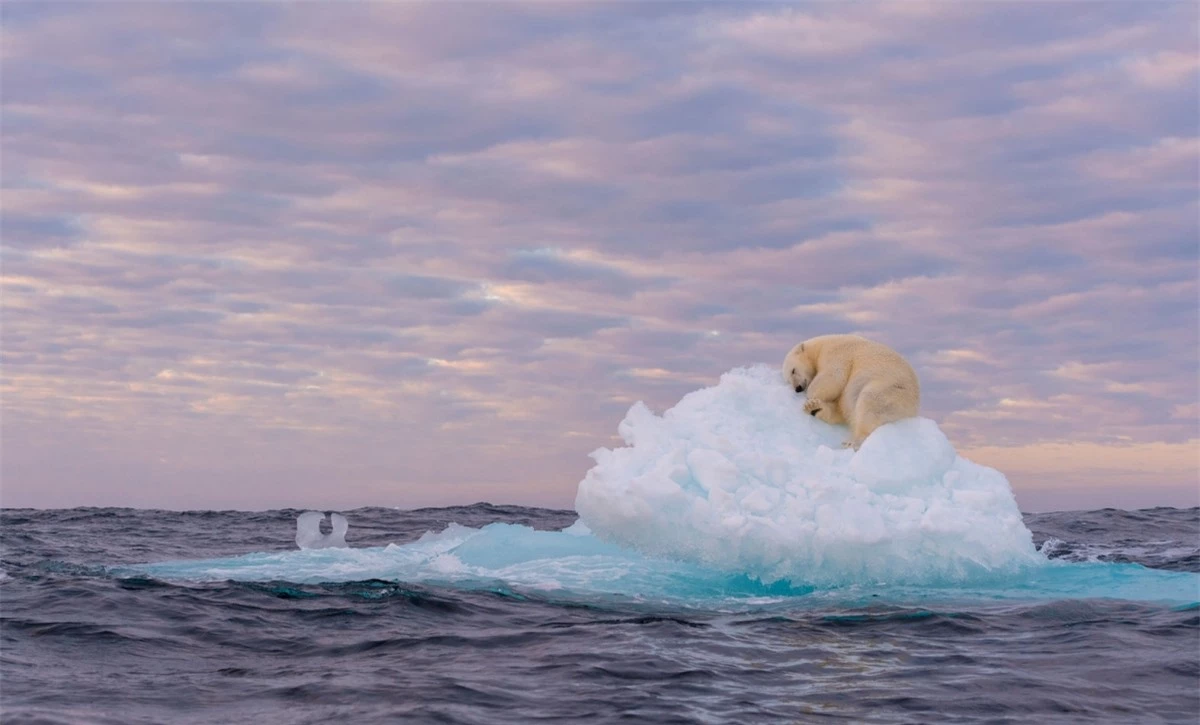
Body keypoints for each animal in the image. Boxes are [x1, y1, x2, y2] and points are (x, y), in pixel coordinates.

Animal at [782, 336, 921, 451]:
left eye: (793, 370)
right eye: (788, 380)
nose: (798, 388)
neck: (820, 346)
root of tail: (914, 408)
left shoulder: (836, 353)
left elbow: (834, 376)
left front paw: (810, 397)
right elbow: (838, 404)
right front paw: (812, 404)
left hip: (893, 390)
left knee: (870, 402)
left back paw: (853, 442)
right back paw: (815, 409)